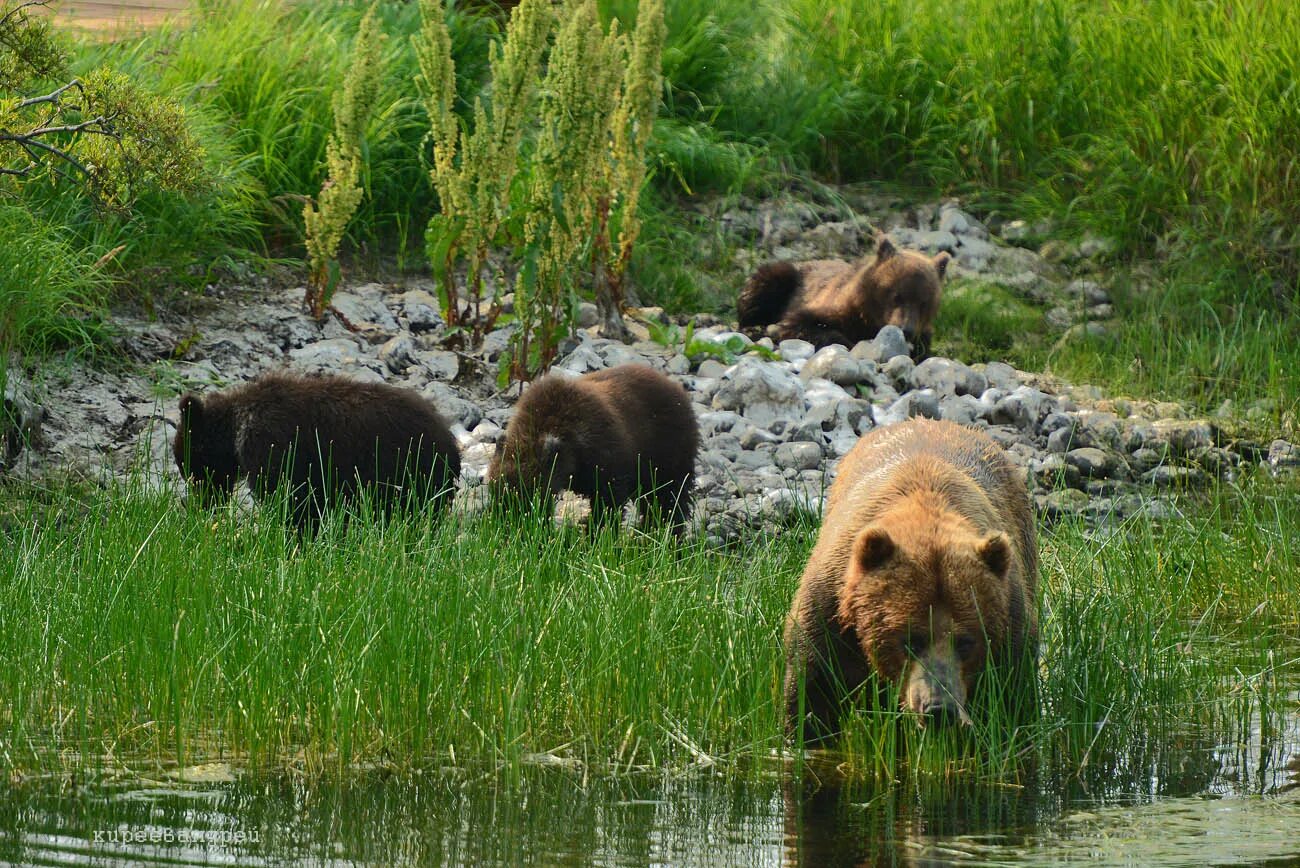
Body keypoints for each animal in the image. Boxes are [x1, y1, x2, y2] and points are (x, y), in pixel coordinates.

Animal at [170, 369, 460, 524]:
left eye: (189, 467)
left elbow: (290, 501)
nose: (201, 505)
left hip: (409, 473)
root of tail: (451, 441)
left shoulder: (273, 446)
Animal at [488, 361, 696, 535]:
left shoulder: (608, 468)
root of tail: (678, 390)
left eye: (530, 494)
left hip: (669, 461)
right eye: (494, 491)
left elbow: (607, 505)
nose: (509, 530)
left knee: (669, 501)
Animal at [738, 232, 951, 358]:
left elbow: (923, 348)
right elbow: (803, 324)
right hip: (789, 277)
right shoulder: (828, 304)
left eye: (924, 302)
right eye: (896, 295)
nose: (905, 329)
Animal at [780, 415, 1034, 743]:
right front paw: (804, 733)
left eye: (967, 641)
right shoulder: (831, 608)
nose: (938, 708)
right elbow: (812, 689)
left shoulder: (1010, 617)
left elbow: (1010, 701)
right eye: (911, 639)